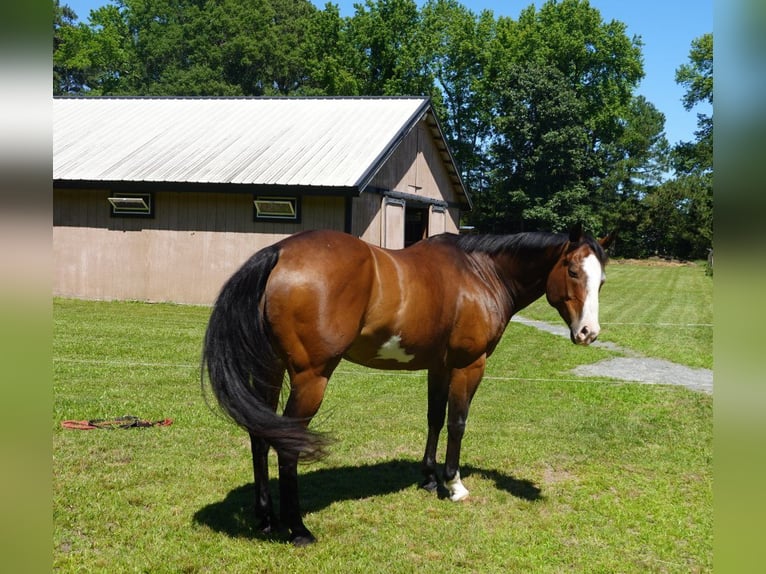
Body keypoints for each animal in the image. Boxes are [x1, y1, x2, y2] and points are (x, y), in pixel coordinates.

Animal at [201, 224, 613, 545]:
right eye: (573, 271)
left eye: (602, 281)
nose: (588, 333)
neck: (481, 272)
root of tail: (279, 252)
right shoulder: (468, 365)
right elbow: (457, 423)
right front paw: (454, 485)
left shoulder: (439, 366)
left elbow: (434, 418)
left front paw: (430, 478)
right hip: (310, 378)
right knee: (287, 444)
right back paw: (298, 529)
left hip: (270, 371)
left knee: (260, 435)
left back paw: (266, 519)